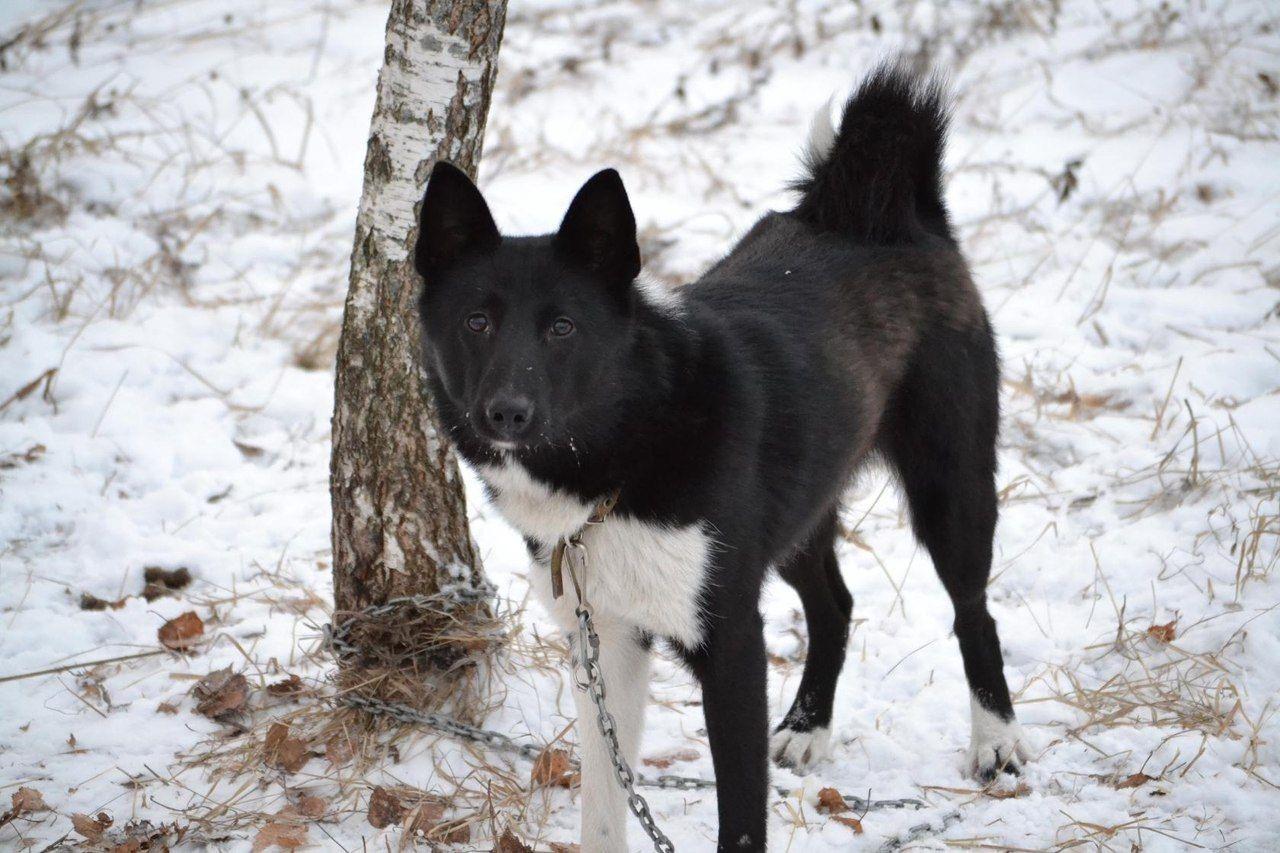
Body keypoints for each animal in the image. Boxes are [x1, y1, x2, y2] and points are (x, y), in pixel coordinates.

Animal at [412, 63, 1029, 845]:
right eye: (477, 322)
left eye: (562, 327)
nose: (507, 413)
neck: (627, 442)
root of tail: (881, 209)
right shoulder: (606, 639)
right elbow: (605, 802)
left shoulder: (730, 642)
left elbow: (739, 817)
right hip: (796, 513)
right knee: (835, 603)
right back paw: (808, 727)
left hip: (949, 487)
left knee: (974, 611)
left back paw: (996, 741)